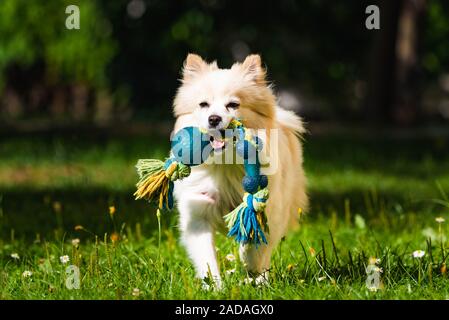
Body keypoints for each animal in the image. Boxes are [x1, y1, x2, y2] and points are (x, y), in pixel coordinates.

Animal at [170, 53, 306, 288]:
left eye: (233, 105)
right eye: (203, 104)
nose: (214, 118)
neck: (224, 163)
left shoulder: (266, 211)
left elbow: (254, 245)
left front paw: (250, 269)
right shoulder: (198, 215)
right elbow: (207, 258)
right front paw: (215, 287)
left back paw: (261, 279)